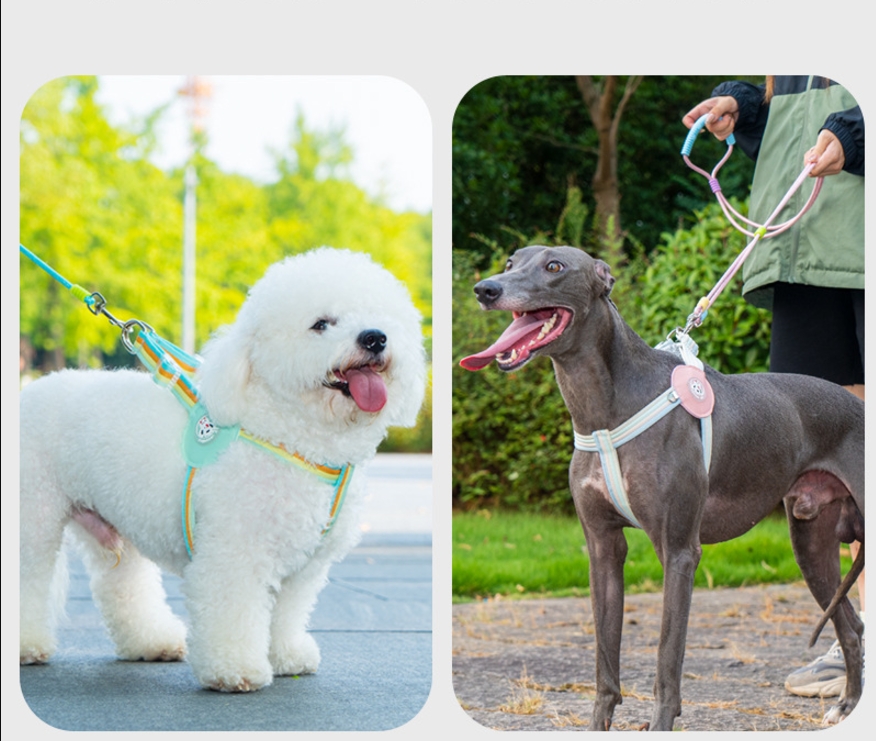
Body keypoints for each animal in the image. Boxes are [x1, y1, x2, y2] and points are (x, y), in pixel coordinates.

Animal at [20, 247, 428, 688]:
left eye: (379, 317)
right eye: (321, 324)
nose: (374, 337)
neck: (286, 434)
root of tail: (30, 388)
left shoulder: (303, 566)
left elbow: (286, 613)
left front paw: (286, 656)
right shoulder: (233, 551)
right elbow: (234, 612)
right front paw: (236, 669)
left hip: (113, 524)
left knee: (122, 585)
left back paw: (152, 642)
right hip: (33, 514)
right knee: (31, 575)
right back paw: (27, 645)